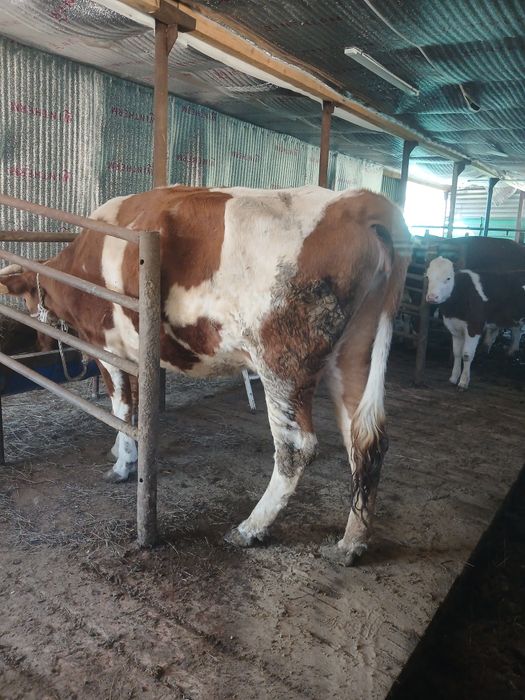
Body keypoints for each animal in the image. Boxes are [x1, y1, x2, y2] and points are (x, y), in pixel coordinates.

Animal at [0, 185, 412, 566]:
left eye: (27, 298)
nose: (40, 336)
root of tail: (357, 201)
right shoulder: (134, 351)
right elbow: (134, 407)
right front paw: (124, 452)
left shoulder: (106, 345)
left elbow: (120, 408)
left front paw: (121, 465)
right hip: (353, 353)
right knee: (364, 440)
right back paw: (351, 543)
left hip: (282, 361)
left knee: (297, 447)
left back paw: (251, 528)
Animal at [426, 256, 525, 389]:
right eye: (427, 277)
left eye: (448, 278)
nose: (432, 297)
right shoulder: (454, 327)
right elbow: (457, 353)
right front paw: (453, 378)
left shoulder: (475, 326)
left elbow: (467, 355)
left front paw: (463, 382)